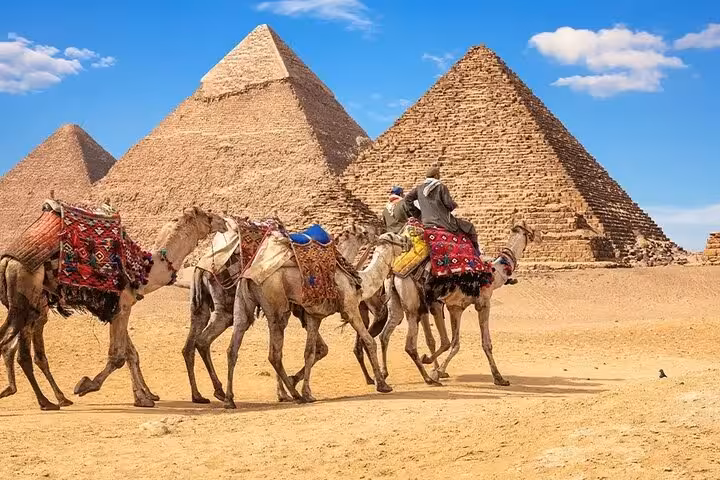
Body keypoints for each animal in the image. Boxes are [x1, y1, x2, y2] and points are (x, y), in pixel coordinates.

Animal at [0, 205, 226, 410]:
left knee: (14, 347)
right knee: (15, 348)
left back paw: (46, 398)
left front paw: (143, 397)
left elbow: (130, 353)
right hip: (27, 295)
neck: (144, 270)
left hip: (29, 303)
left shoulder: (117, 309)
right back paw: (46, 401)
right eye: (207, 216)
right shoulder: (123, 304)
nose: (223, 221)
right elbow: (119, 356)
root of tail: (8, 260)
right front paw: (86, 385)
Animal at [182, 221, 388, 403]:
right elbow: (331, 347)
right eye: (364, 231)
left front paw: (286, 389)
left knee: (207, 344)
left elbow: (317, 350)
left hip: (223, 308)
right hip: (256, 310)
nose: (378, 230)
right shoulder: (334, 309)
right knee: (267, 352)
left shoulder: (307, 314)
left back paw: (215, 396)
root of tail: (202, 267)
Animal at [225, 231, 410, 408]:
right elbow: (369, 341)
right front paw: (383, 385)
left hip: (242, 303)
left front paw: (307, 392)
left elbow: (310, 352)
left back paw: (230, 399)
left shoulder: (314, 316)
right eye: (394, 236)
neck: (361, 282)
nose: (407, 240)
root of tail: (249, 274)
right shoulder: (350, 308)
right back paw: (295, 395)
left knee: (234, 345)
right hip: (276, 303)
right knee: (274, 354)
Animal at [379, 222, 539, 386]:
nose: (540, 236)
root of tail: (395, 271)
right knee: (410, 345)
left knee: (386, 333)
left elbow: (451, 343)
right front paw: (499, 378)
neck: (493, 274)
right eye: (531, 230)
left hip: (397, 300)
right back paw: (428, 379)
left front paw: (433, 366)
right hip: (412, 302)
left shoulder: (453, 307)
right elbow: (480, 344)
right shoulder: (481, 304)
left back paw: (385, 373)